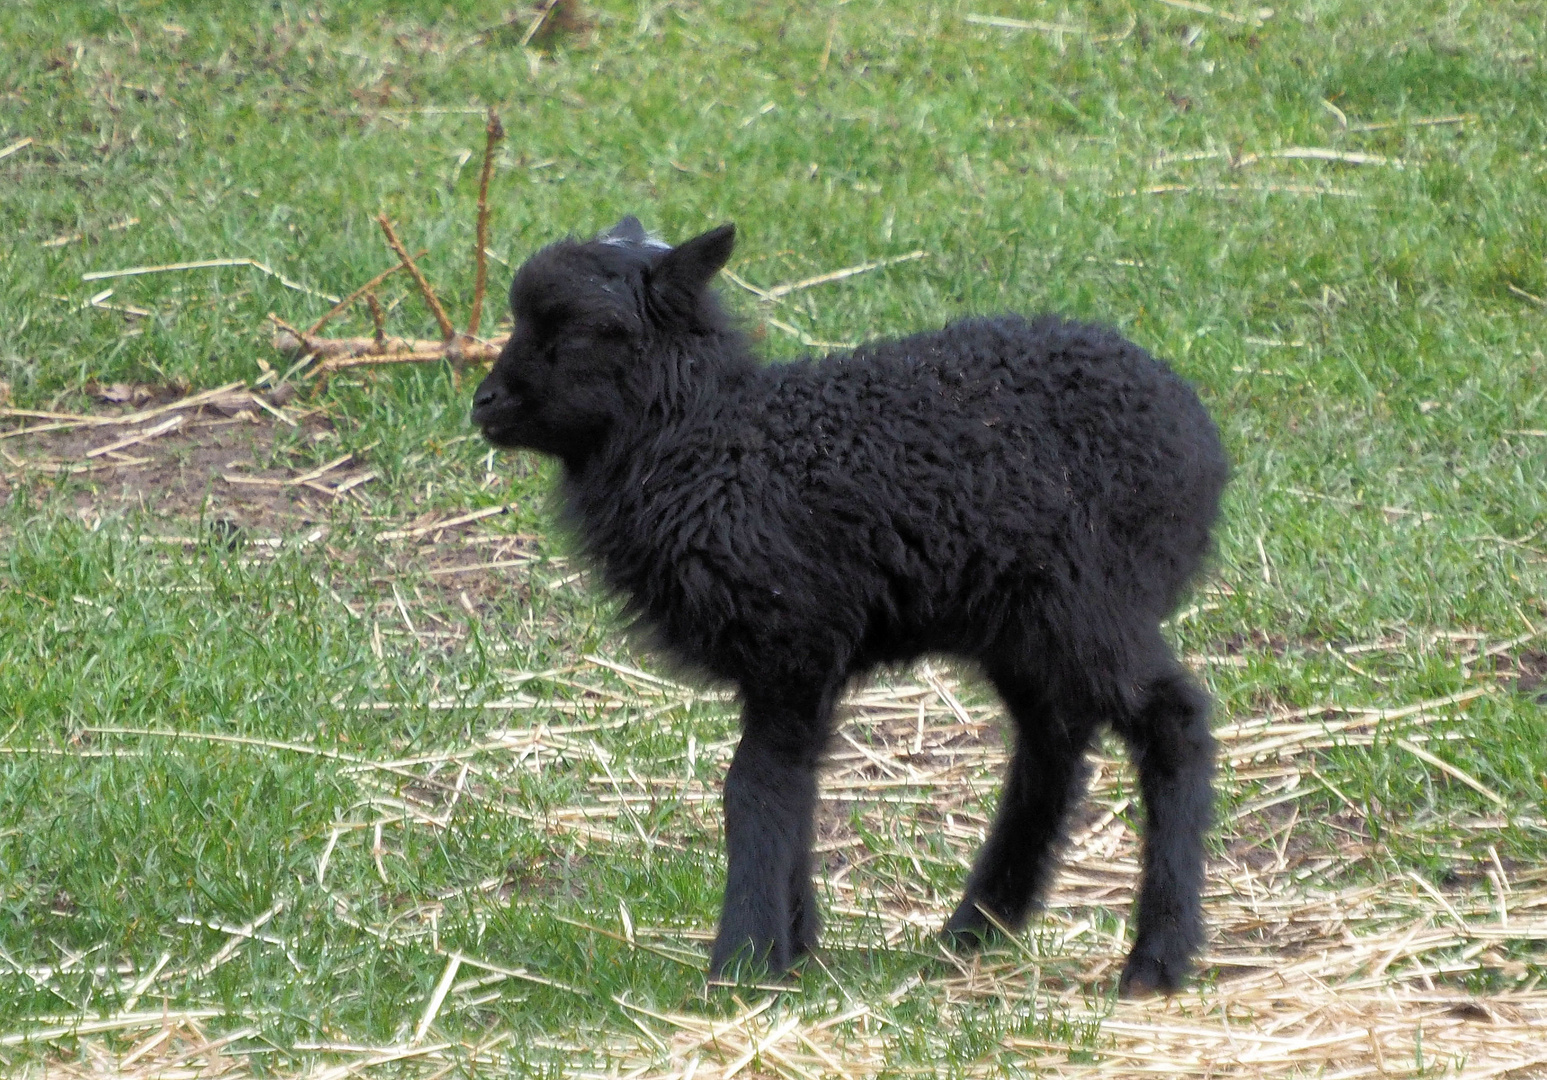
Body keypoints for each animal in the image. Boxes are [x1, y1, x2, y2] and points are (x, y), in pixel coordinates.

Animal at [470, 216, 1231, 990]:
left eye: (581, 329)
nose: (485, 404)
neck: (714, 449)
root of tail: (1200, 436)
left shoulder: (793, 640)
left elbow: (753, 787)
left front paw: (743, 962)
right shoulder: (795, 662)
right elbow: (793, 788)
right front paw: (793, 948)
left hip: (1092, 602)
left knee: (1173, 723)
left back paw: (1157, 956)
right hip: (1024, 625)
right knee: (1052, 743)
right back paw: (976, 928)